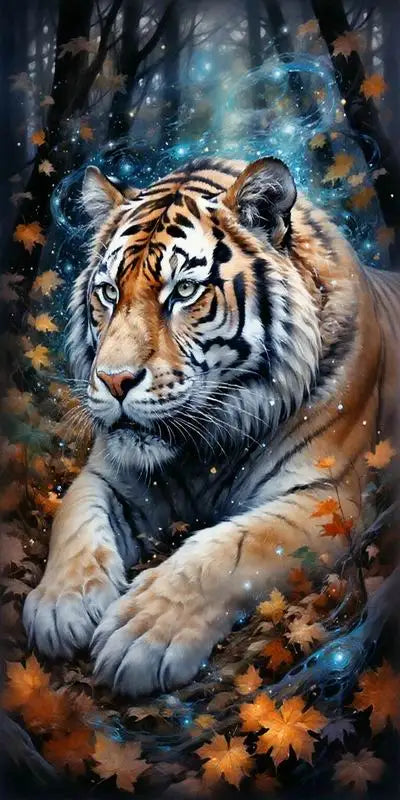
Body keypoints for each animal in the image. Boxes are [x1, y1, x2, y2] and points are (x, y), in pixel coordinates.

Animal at [23, 155, 400, 697]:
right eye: (109, 292)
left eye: (183, 291)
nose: (114, 380)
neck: (205, 450)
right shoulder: (109, 476)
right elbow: (73, 521)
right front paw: (59, 605)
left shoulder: (327, 500)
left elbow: (231, 550)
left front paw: (144, 632)